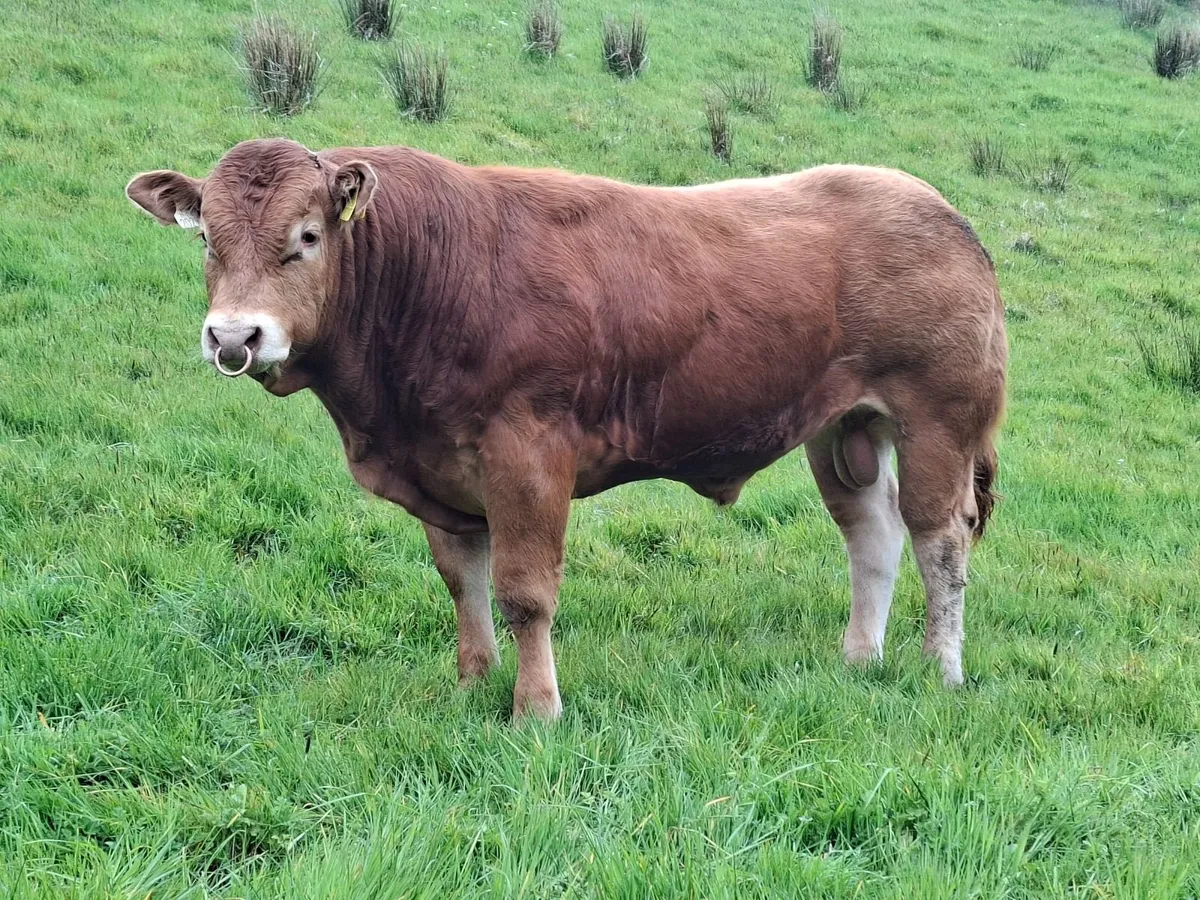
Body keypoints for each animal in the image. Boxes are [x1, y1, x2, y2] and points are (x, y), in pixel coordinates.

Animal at [126, 138, 1007, 720]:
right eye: (207, 240)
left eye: (306, 239)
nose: (235, 337)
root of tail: (938, 207)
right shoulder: (444, 473)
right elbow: (463, 582)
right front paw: (474, 682)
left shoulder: (526, 458)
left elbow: (524, 591)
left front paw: (534, 709)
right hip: (845, 428)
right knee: (872, 535)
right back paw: (860, 658)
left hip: (937, 419)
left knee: (939, 542)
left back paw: (942, 669)